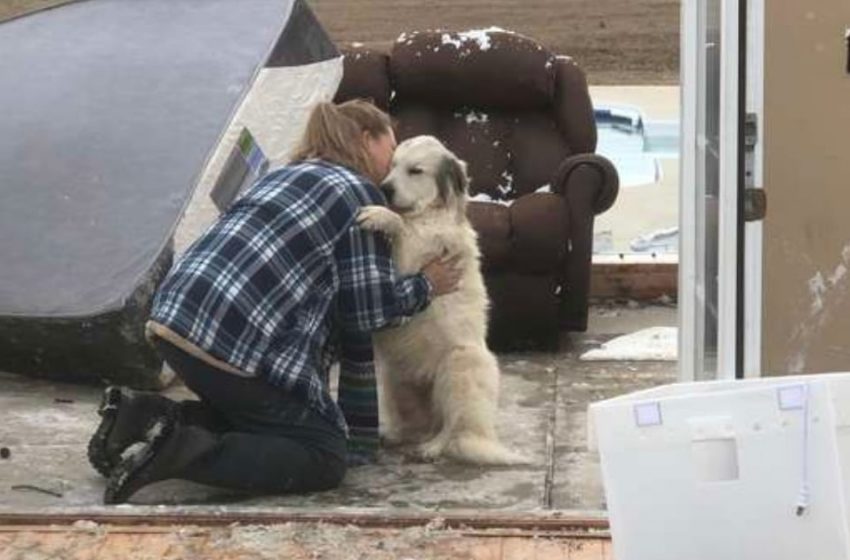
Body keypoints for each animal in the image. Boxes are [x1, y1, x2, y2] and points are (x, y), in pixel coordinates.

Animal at [354, 136, 520, 464]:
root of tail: (483, 436)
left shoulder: (412, 259)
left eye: (415, 171)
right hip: (393, 379)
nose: (384, 188)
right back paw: (394, 435)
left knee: (451, 428)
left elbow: (402, 229)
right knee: (418, 425)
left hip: (457, 367)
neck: (427, 214)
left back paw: (432, 448)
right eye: (393, 165)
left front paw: (381, 215)